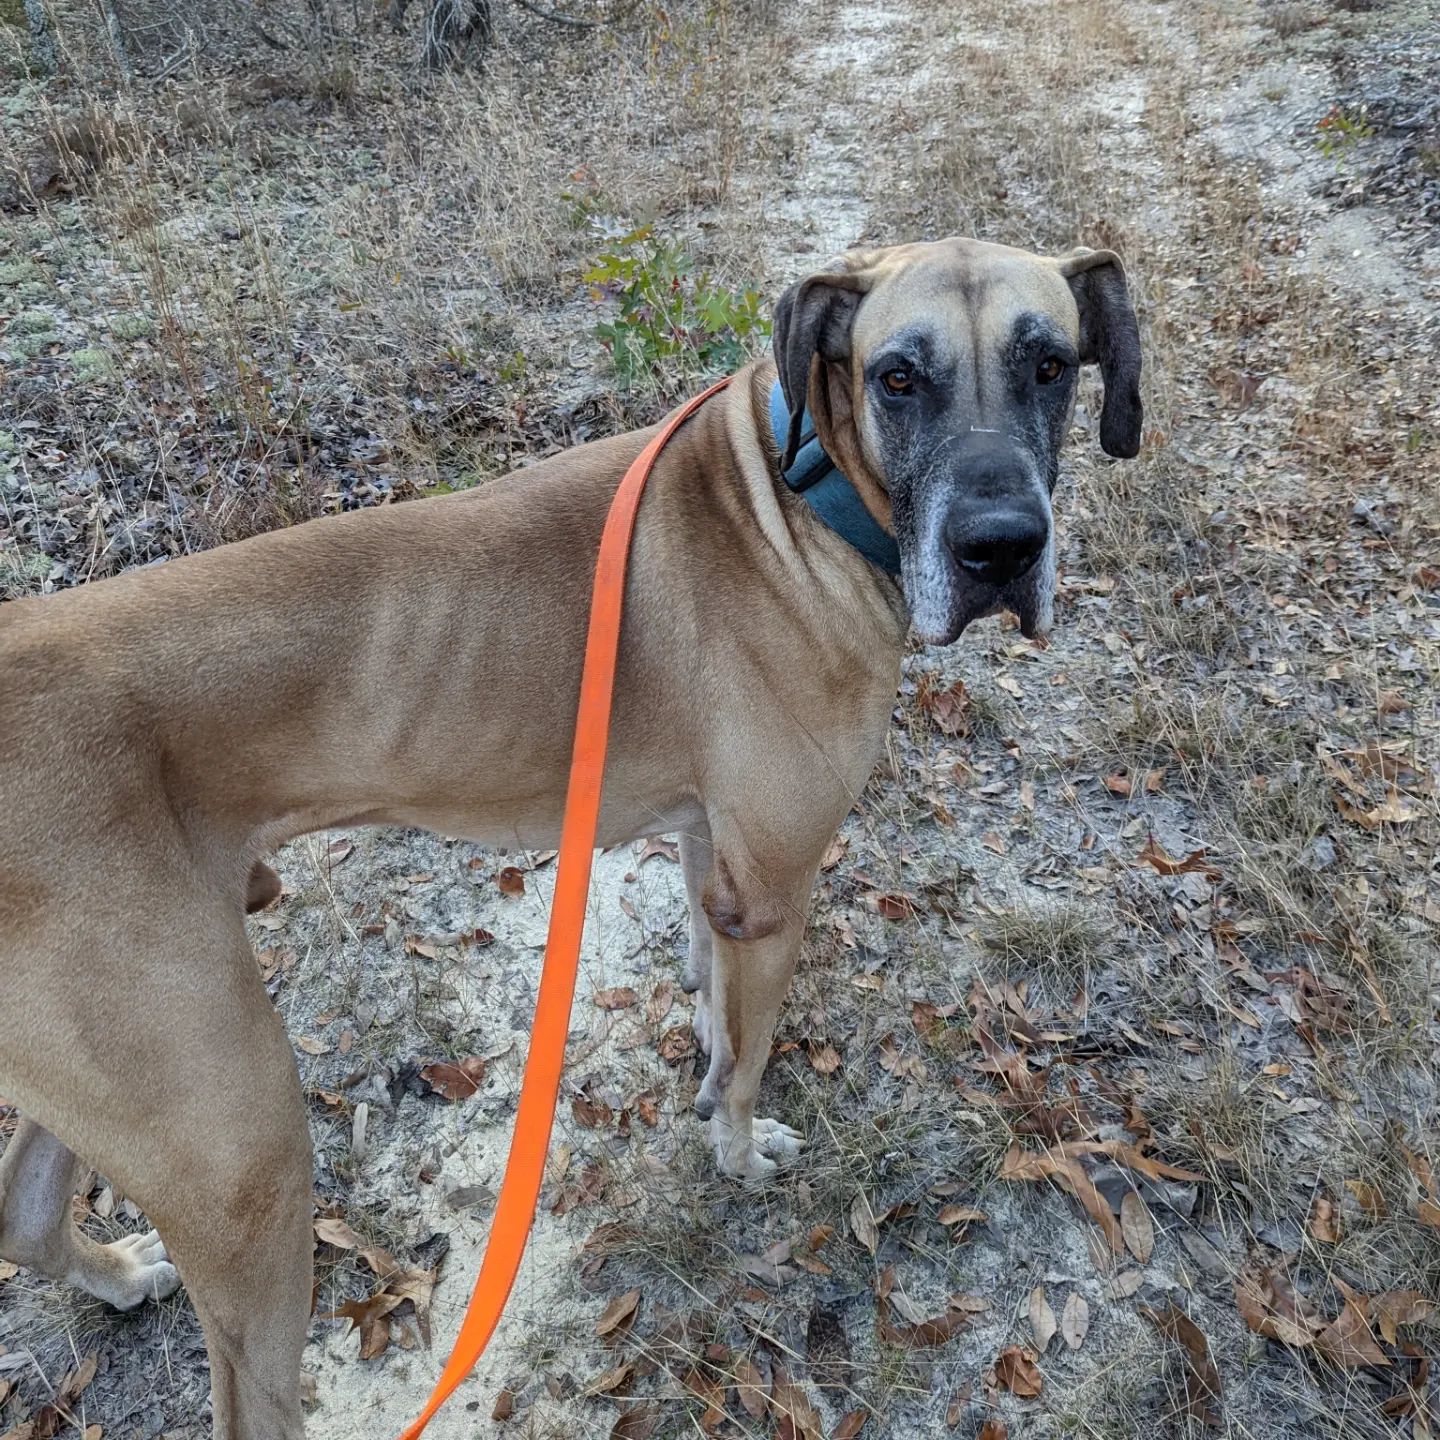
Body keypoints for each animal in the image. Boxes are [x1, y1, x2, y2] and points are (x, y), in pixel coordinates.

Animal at [0, 236, 1141, 1437]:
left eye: (1051, 365)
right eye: (899, 378)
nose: (1003, 549)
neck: (802, 498)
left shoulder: (714, 856)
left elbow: (714, 999)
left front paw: (706, 1062)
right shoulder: (775, 889)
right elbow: (750, 1060)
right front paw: (739, 1153)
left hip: (137, 1081)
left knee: (21, 1208)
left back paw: (118, 1276)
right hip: (237, 1148)